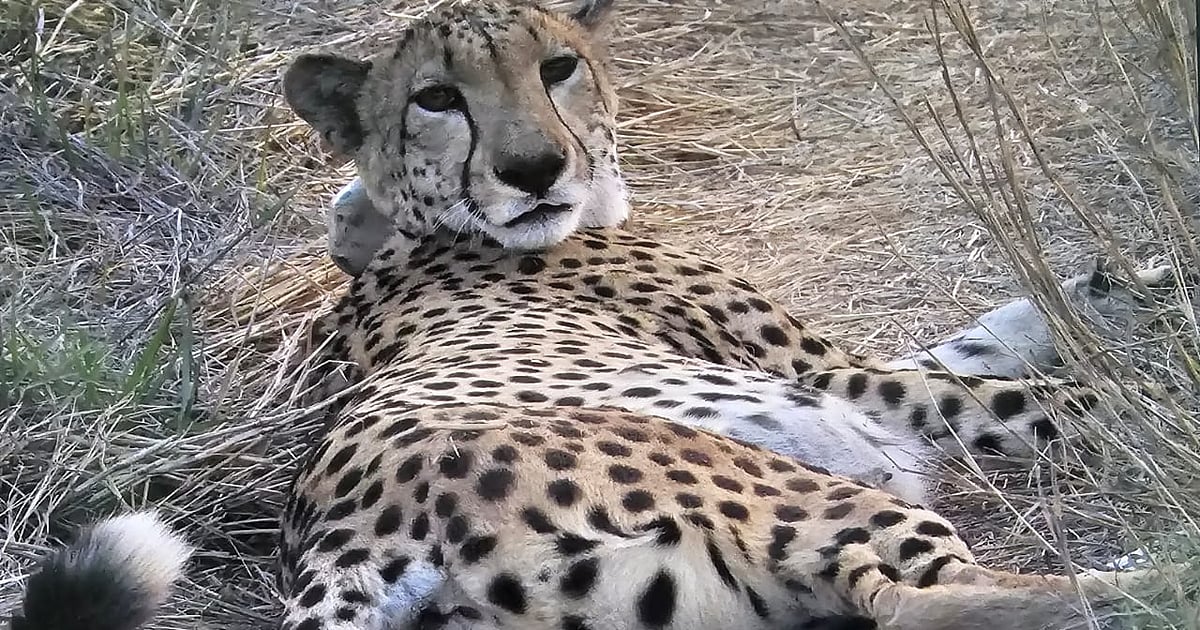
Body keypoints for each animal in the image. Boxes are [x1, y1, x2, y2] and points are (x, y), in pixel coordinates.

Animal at [9, 1, 1182, 630]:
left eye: (557, 65)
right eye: (438, 97)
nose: (533, 169)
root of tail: (342, 535)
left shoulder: (848, 373)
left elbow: (996, 333)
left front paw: (1132, 279)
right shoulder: (839, 377)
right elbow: (1055, 396)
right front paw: (1163, 378)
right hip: (789, 493)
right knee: (920, 600)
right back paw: (1153, 581)